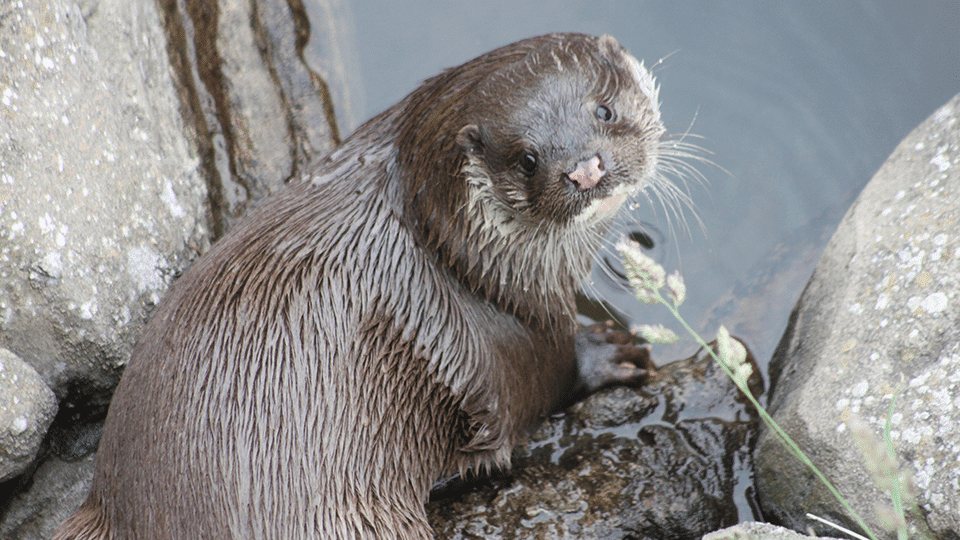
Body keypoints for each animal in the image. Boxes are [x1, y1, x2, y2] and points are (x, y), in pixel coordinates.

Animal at [54, 34, 668, 540]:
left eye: (604, 109)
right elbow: (547, 384)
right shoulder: (515, 342)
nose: (584, 169)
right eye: (528, 159)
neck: (460, 258)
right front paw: (610, 352)